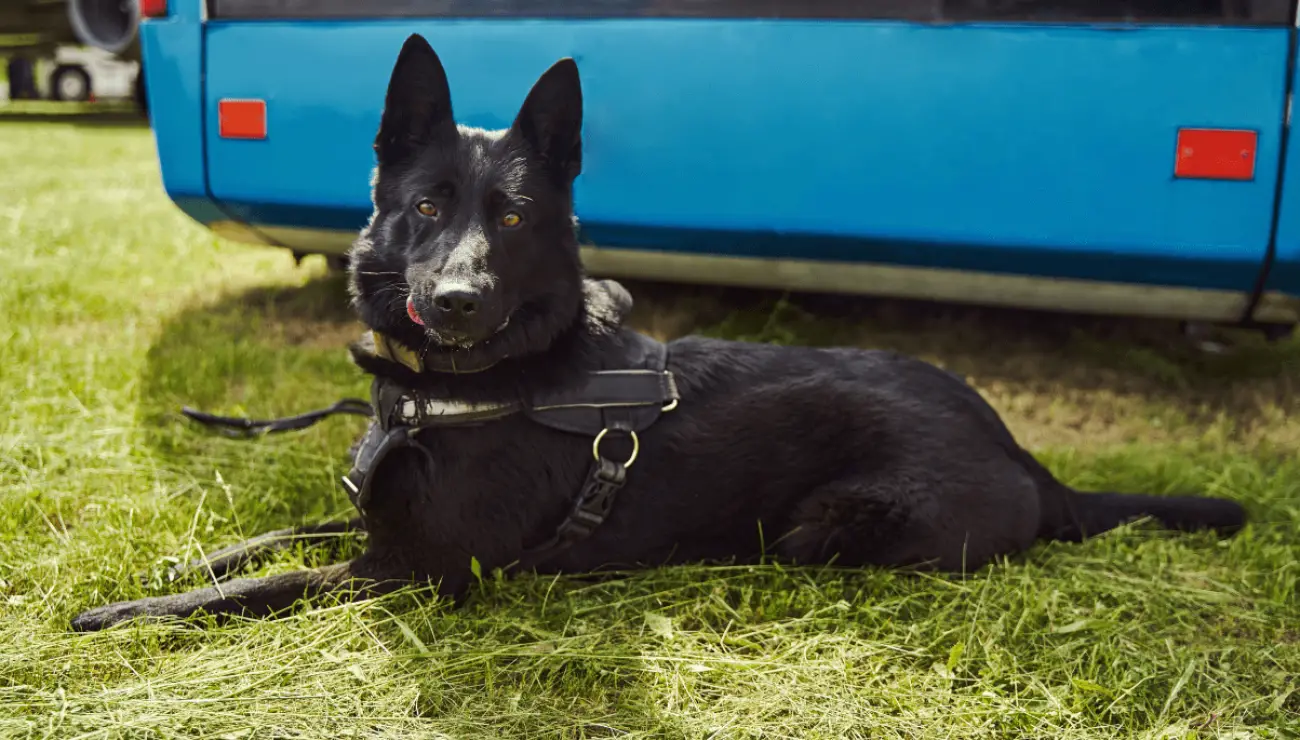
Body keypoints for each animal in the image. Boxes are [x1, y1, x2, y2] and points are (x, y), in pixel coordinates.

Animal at [73, 34, 1248, 632]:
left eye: (511, 218)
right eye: (426, 206)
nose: (455, 300)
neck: (467, 385)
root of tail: (1028, 458)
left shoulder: (418, 569)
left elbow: (270, 584)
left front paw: (135, 608)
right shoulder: (377, 528)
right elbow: (286, 533)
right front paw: (199, 545)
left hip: (823, 527)